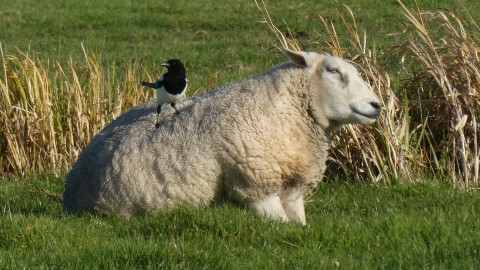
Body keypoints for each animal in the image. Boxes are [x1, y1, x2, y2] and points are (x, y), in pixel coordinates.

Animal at [62, 49, 380, 225]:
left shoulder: (292, 187)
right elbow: (281, 225)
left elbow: (299, 226)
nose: (376, 105)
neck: (285, 107)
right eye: (333, 71)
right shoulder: (255, 185)